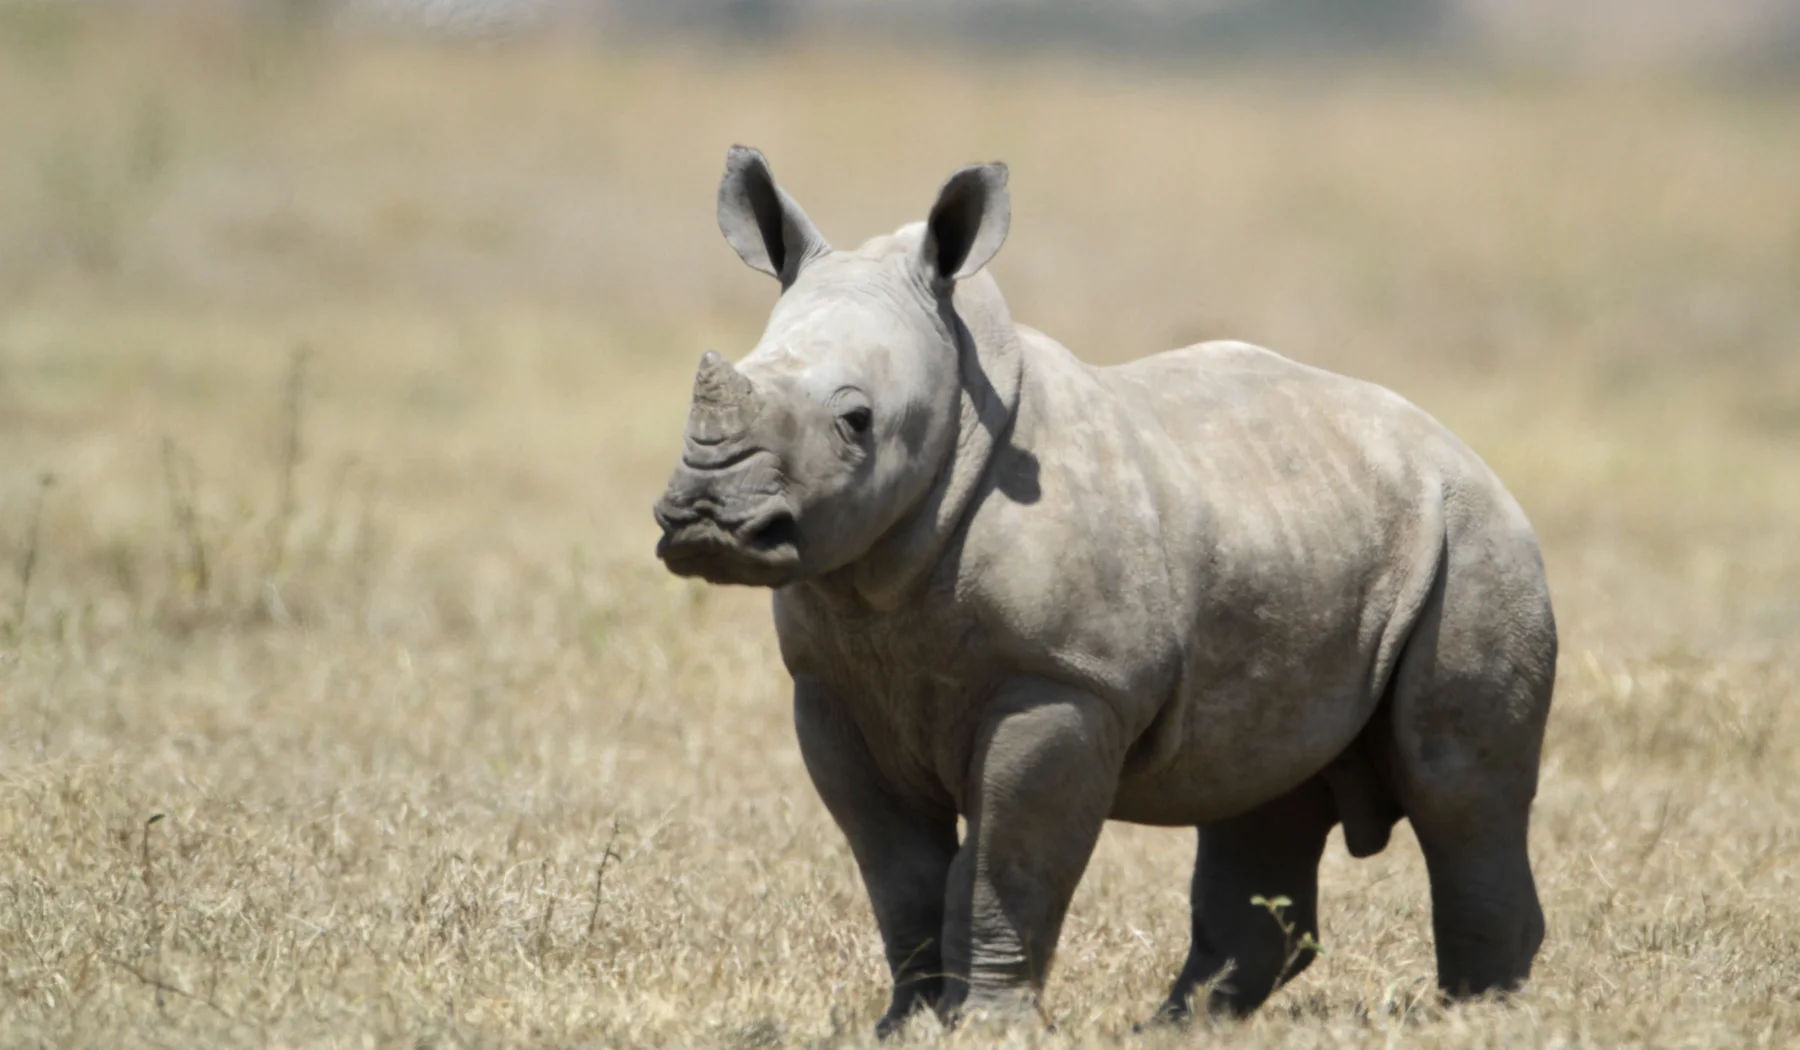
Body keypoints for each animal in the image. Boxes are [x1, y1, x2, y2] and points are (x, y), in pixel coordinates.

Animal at [652, 146, 1557, 1034]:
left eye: (856, 421)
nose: (704, 517)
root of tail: (1458, 447)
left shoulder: (1067, 680)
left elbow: (1007, 864)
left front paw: (990, 1027)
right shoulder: (831, 688)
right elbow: (897, 871)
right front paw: (905, 1025)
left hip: (1475, 540)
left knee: (1457, 788)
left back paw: (1475, 1016)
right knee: (1261, 783)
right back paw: (1183, 1025)